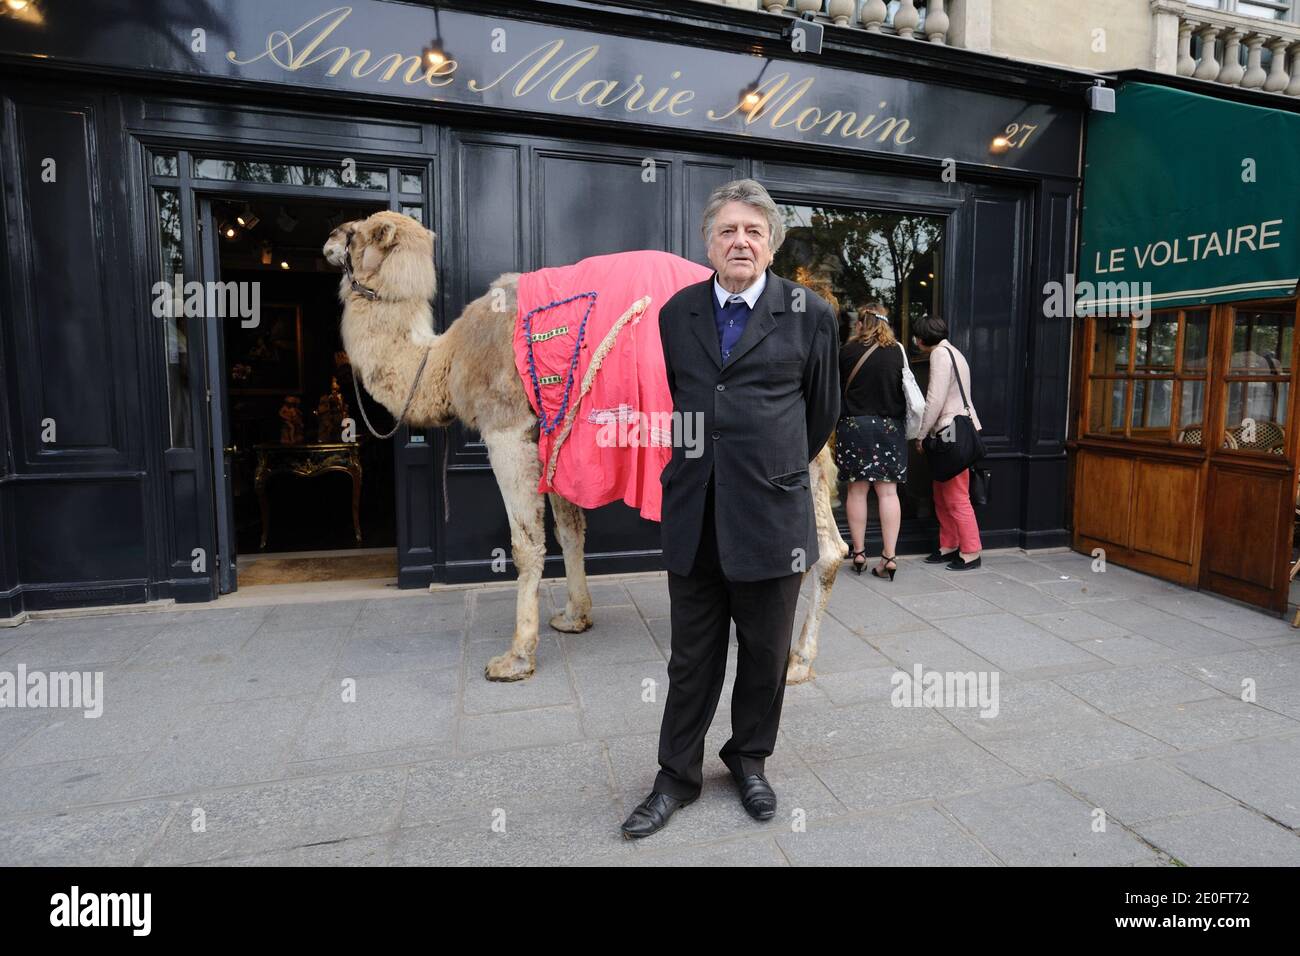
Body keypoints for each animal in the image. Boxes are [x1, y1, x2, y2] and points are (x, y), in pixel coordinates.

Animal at [325, 213, 852, 686]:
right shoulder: (554, 435)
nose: (328, 240)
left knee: (823, 549)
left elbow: (525, 545)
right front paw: (574, 616)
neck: (446, 357)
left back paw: (797, 663)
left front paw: (516, 658)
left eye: (355, 234)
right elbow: (570, 529)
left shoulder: (506, 428)